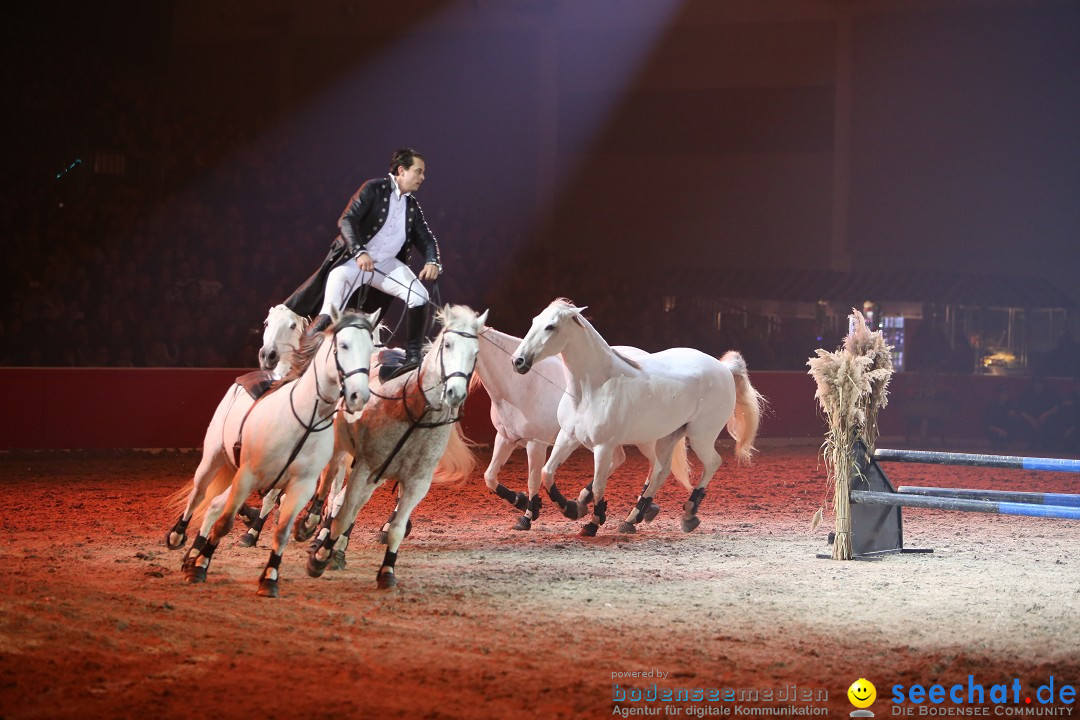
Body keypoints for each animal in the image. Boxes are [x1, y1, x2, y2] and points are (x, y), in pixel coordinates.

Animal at [164, 306, 308, 552]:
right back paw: (177, 534)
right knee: (199, 492)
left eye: (292, 325)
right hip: (213, 455)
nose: (267, 355)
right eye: (266, 323)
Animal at [179, 310, 378, 595]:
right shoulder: (248, 475)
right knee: (199, 494)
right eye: (343, 345)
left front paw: (270, 578)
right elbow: (227, 520)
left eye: (370, 348)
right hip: (213, 458)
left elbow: (284, 529)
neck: (305, 420)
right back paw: (179, 537)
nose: (358, 395)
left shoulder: (302, 484)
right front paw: (200, 566)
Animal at [306, 306, 488, 591]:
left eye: (475, 353)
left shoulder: (416, 482)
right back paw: (310, 526)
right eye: (447, 344)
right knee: (329, 485)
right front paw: (320, 557)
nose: (455, 393)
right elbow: (343, 513)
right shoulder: (365, 467)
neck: (413, 411)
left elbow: (396, 529)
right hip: (341, 451)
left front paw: (386, 572)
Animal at [468, 330, 686, 533]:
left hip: (646, 438)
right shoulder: (505, 438)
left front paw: (528, 516)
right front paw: (521, 501)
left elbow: (533, 479)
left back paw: (634, 516)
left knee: (657, 468)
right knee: (622, 460)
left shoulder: (536, 443)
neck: (520, 386)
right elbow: (490, 477)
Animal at [509, 297, 764, 535]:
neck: (592, 389)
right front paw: (570, 508)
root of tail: (724, 370)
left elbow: (599, 485)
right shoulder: (568, 437)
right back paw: (633, 518)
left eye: (550, 326)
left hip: (700, 436)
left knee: (711, 463)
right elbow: (547, 473)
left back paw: (689, 514)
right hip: (668, 436)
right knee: (660, 471)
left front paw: (592, 524)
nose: (518, 361)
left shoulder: (603, 446)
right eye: (534, 321)